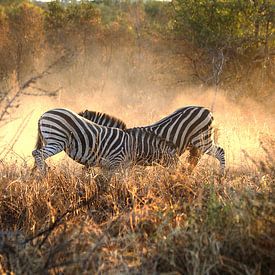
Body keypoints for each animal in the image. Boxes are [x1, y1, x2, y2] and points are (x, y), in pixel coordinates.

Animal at [32, 109, 178, 174]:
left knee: (37, 153)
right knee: (38, 153)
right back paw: (45, 174)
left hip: (50, 139)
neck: (133, 146)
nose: (176, 176)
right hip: (57, 140)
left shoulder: (109, 166)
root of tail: (43, 114)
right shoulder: (115, 163)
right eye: (174, 161)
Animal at [80, 106, 226, 174]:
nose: (84, 168)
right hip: (196, 145)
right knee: (194, 161)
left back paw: (220, 176)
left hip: (202, 140)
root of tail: (206, 110)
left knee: (221, 152)